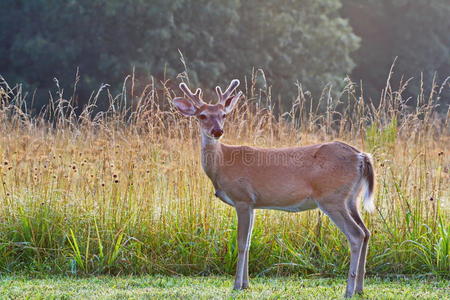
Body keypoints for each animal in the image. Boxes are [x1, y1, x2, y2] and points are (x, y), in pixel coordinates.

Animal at [173, 79, 376, 298]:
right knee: (366, 232)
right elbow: (249, 242)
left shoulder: (242, 198)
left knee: (356, 235)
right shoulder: (253, 204)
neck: (222, 163)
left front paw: (236, 285)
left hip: (332, 198)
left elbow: (241, 243)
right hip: (351, 199)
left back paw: (348, 290)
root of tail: (361, 156)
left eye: (223, 115)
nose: (217, 131)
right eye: (202, 115)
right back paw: (360, 288)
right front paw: (246, 284)